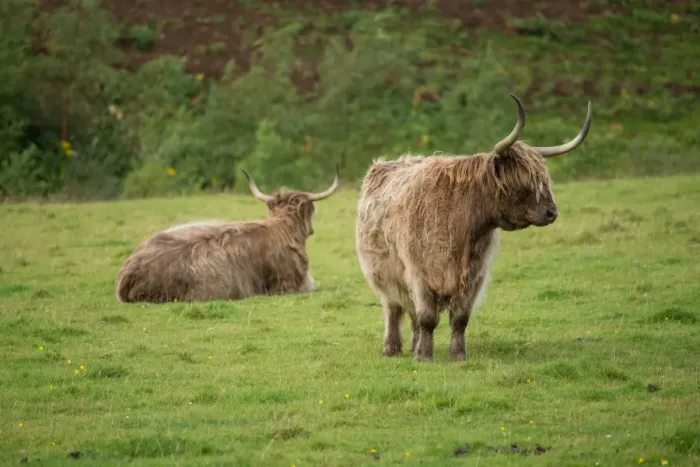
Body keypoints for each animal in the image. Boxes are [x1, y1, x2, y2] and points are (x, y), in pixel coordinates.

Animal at [355, 95, 592, 362]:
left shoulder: (473, 276)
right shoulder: (420, 274)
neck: (461, 219)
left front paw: (457, 355)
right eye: (522, 182)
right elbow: (427, 317)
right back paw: (391, 348)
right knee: (393, 308)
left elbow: (459, 318)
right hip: (385, 274)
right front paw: (425, 356)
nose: (552, 212)